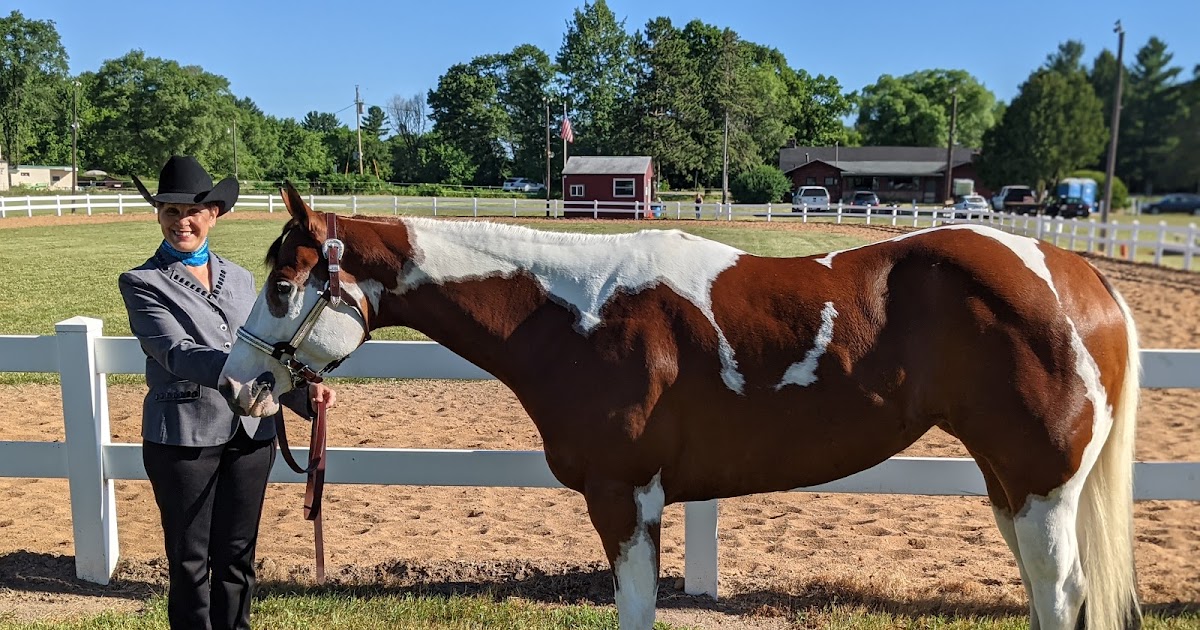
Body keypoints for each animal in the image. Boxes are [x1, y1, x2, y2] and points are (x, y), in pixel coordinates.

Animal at [218, 185, 1142, 630]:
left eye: (282, 285)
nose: (238, 384)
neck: (572, 312)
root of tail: (1077, 277)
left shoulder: (624, 499)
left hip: (1041, 488)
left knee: (1062, 595)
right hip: (1009, 486)